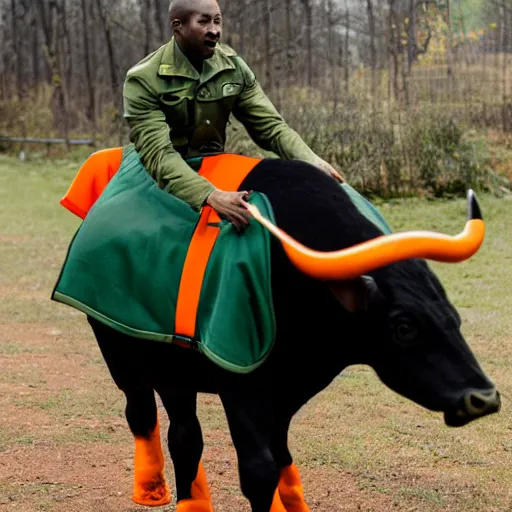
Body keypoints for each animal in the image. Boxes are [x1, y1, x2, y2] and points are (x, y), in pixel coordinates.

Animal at [82, 160, 498, 512]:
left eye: (452, 315)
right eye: (404, 327)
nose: (484, 398)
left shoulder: (290, 389)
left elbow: (281, 455)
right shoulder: (240, 384)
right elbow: (258, 469)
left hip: (175, 369)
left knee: (184, 435)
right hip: (123, 355)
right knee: (146, 417)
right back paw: (151, 489)